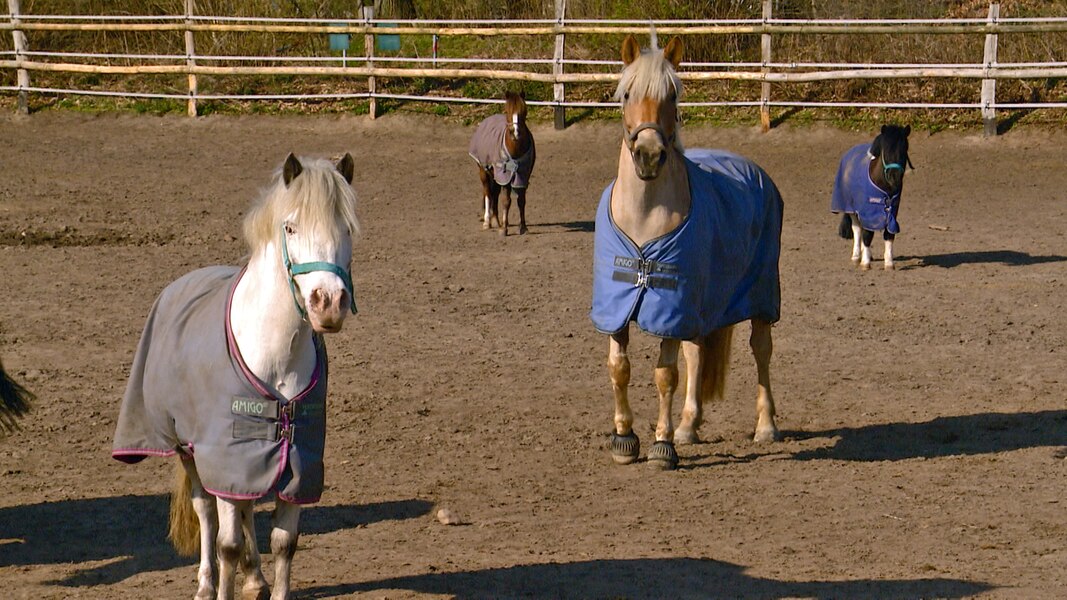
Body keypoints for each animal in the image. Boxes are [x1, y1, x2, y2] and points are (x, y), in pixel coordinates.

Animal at [467, 89, 533, 234]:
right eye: (506, 111)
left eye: (524, 111)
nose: (515, 133)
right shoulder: (505, 176)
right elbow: (506, 201)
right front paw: (504, 229)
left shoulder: (523, 176)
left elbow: (521, 200)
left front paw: (523, 227)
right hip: (483, 171)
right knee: (487, 193)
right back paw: (487, 221)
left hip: (496, 175)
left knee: (495, 194)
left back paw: (496, 221)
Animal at [593, 32, 785, 469]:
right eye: (626, 94)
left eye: (673, 95)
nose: (648, 155)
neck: (644, 218)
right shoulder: (619, 305)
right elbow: (619, 368)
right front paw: (624, 439)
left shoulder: (671, 308)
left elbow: (665, 375)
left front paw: (662, 447)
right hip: (703, 305)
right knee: (696, 354)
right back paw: (688, 425)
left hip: (762, 295)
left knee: (761, 351)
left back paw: (765, 426)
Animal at [827, 124, 913, 270]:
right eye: (886, 150)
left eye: (904, 149)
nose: (894, 177)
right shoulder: (867, 209)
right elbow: (867, 234)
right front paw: (865, 262)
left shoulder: (892, 210)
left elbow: (889, 234)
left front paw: (889, 263)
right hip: (851, 208)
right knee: (857, 229)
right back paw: (857, 257)